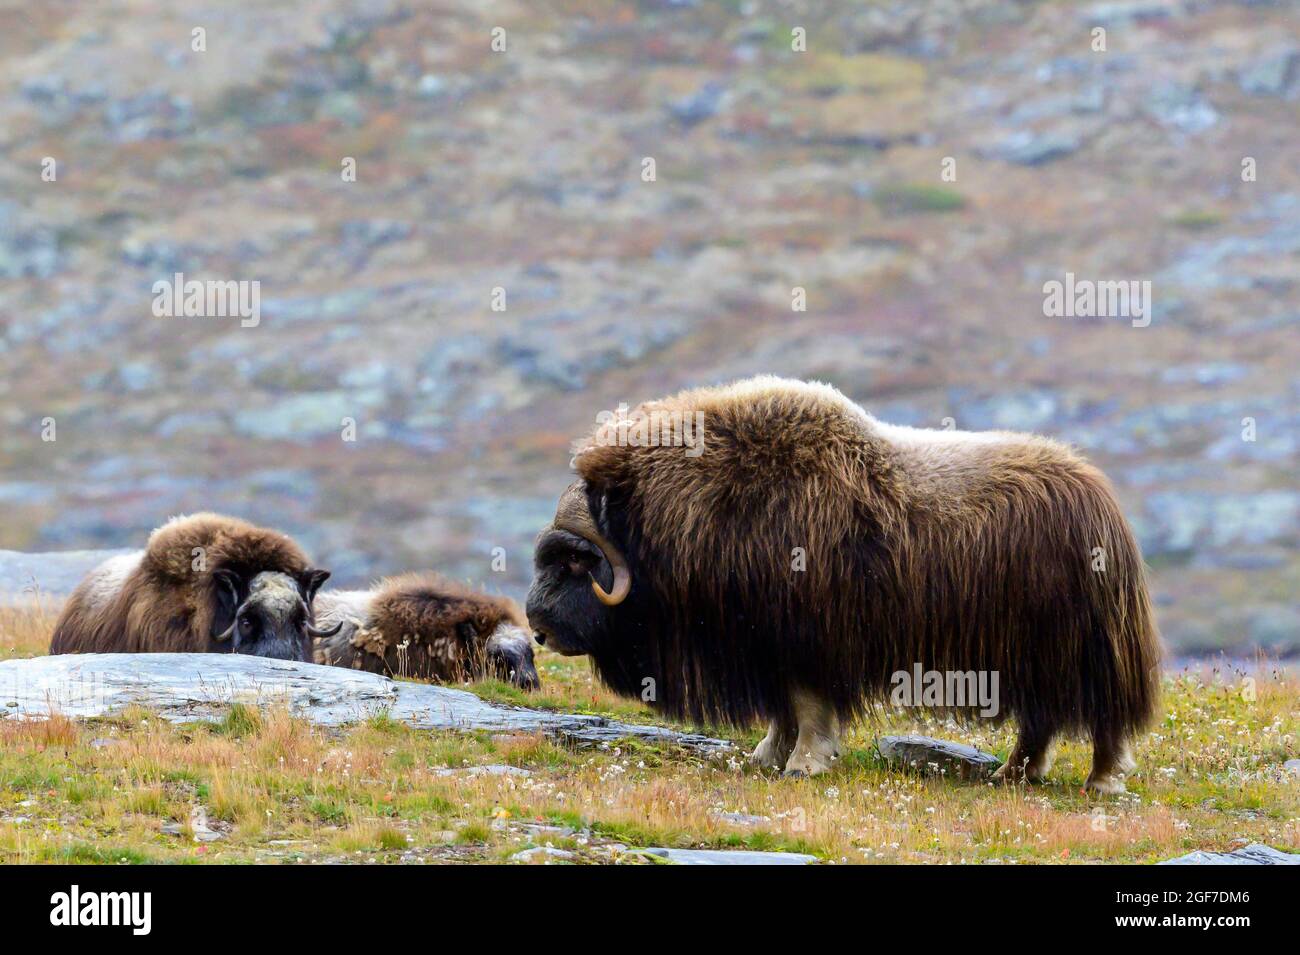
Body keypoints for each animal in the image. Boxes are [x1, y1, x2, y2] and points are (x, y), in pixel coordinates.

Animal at [527, 376, 1159, 795]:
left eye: (577, 561)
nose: (536, 628)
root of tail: (1099, 496)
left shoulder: (806, 639)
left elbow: (808, 707)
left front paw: (806, 763)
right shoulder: (767, 644)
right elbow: (782, 711)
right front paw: (767, 755)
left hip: (1081, 646)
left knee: (1100, 714)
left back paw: (1100, 782)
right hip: (1030, 656)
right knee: (1041, 719)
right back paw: (1013, 773)